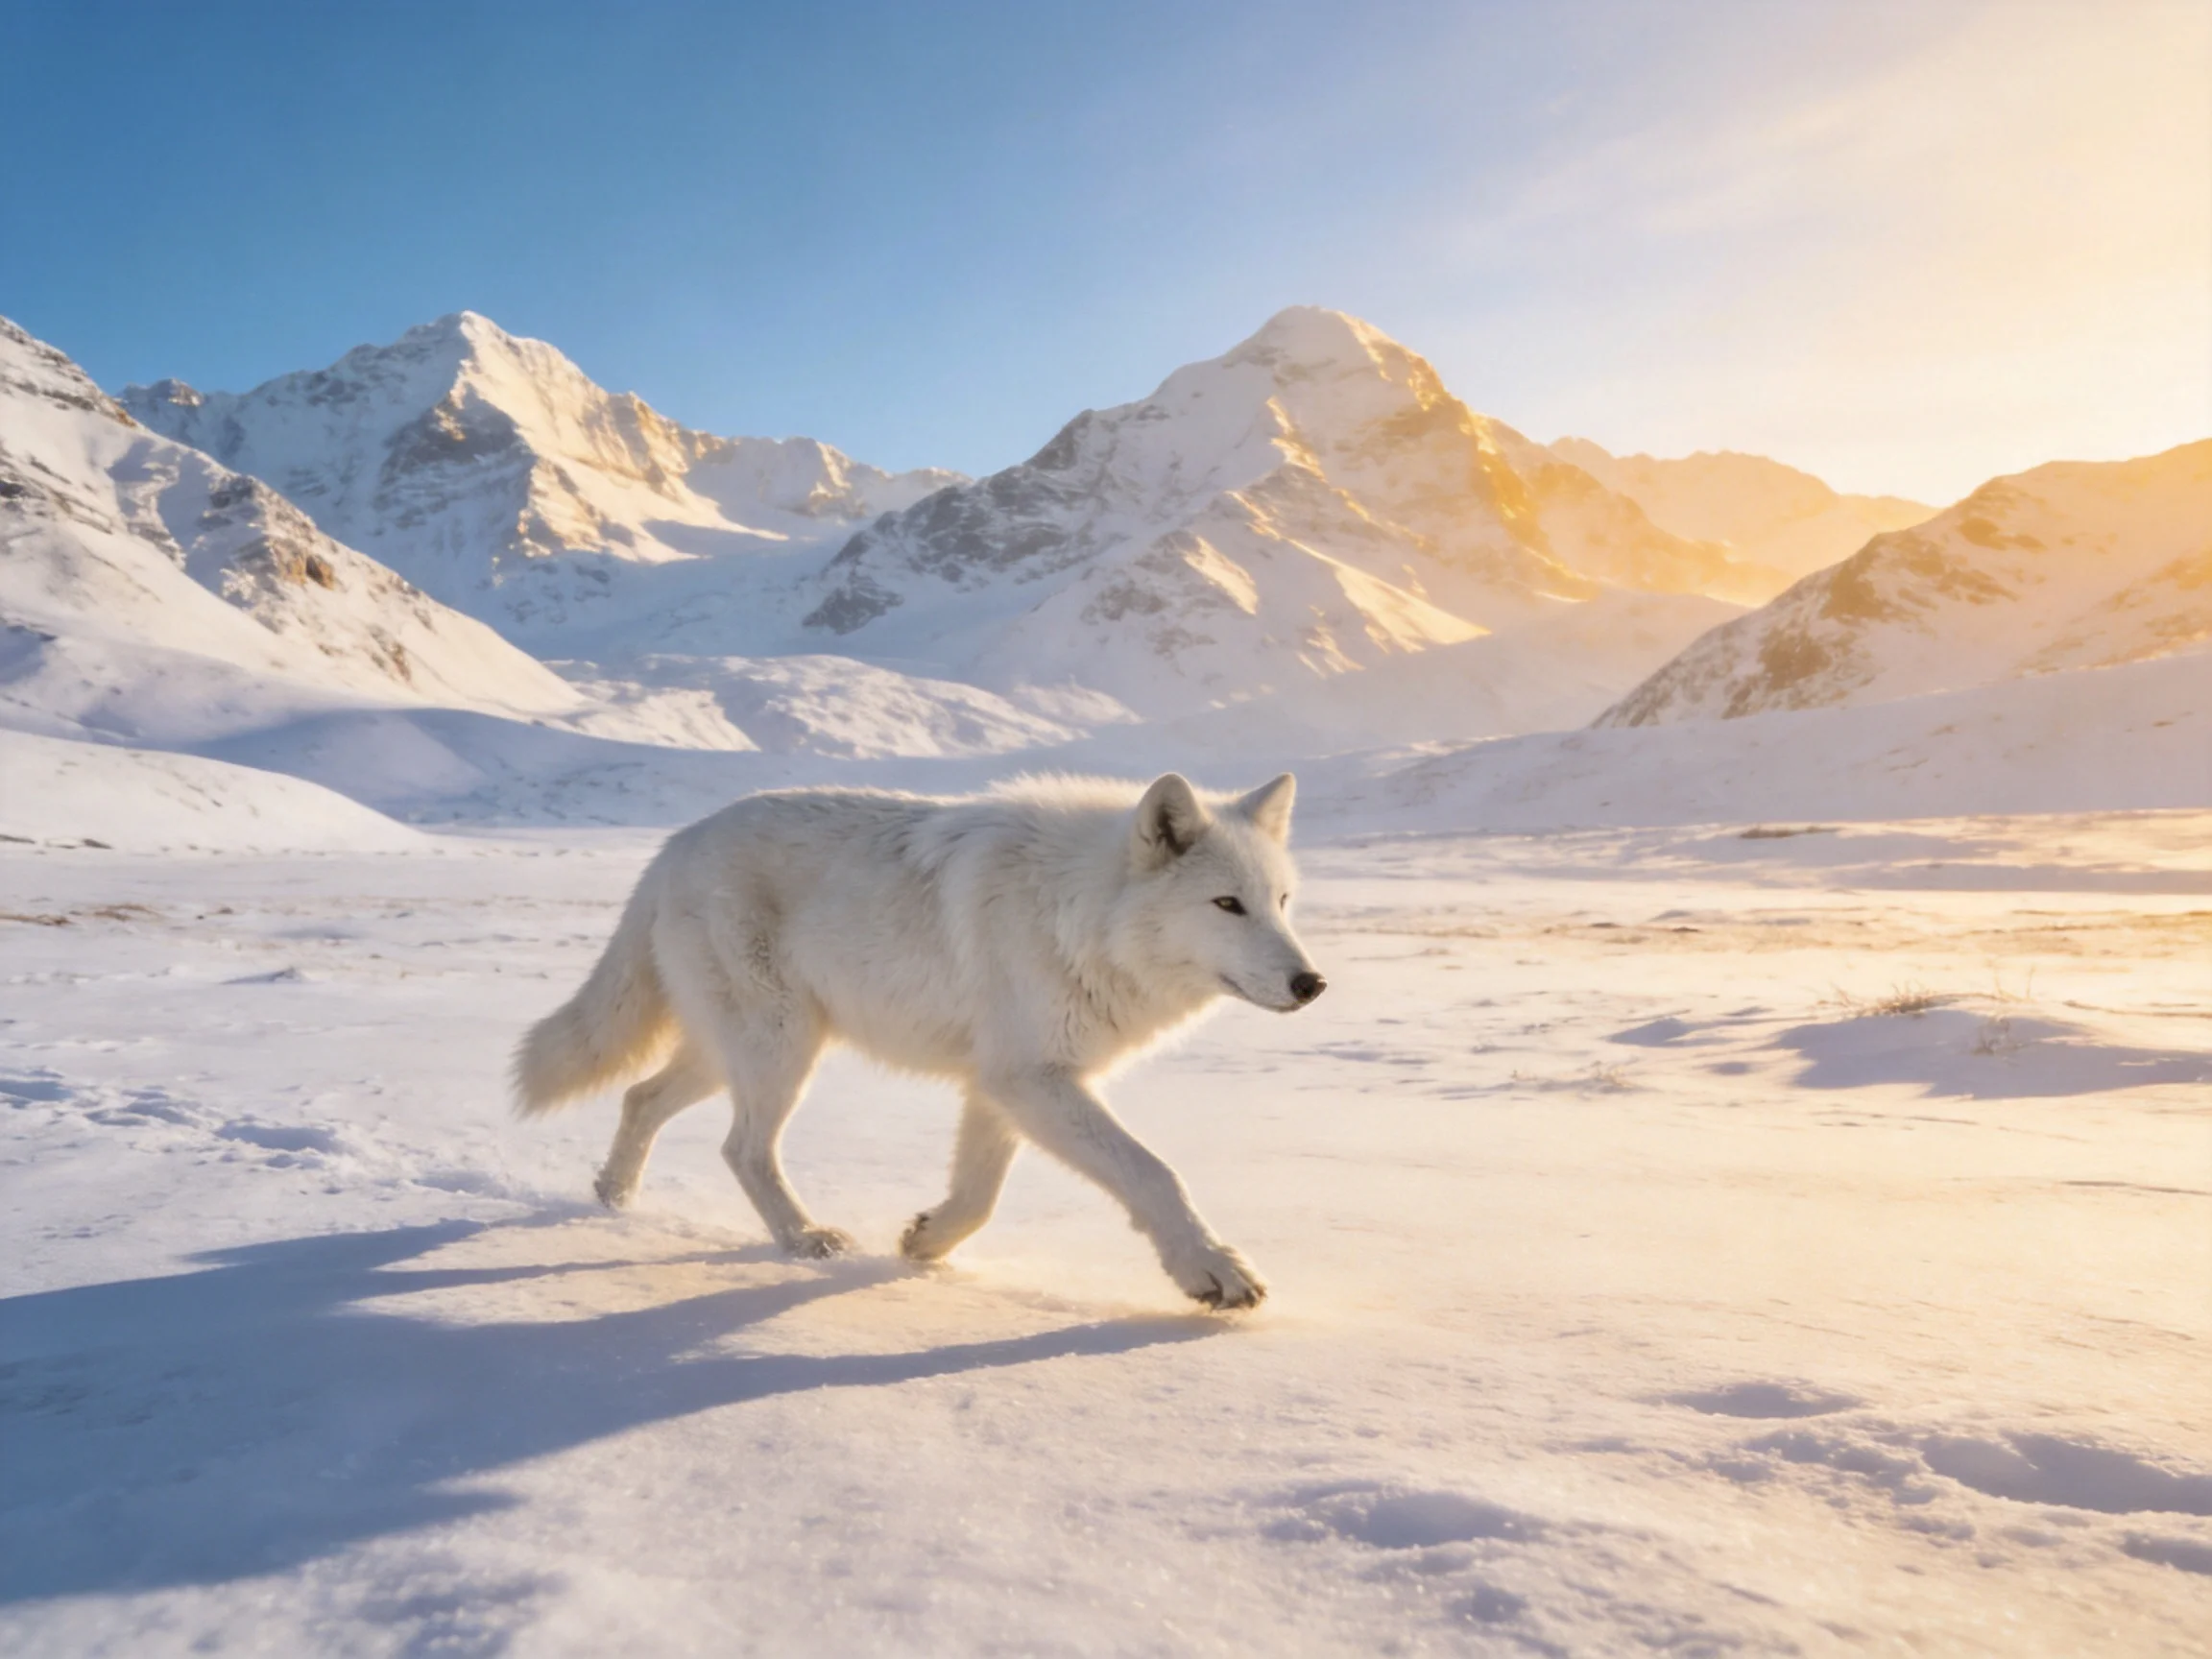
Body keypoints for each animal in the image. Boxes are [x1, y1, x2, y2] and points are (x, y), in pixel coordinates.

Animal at [512, 772, 1325, 1309]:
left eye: (1283, 903)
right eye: (1228, 904)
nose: (1312, 984)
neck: (1080, 915)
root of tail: (671, 847)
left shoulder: (1000, 1086)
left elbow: (978, 1198)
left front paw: (923, 1244)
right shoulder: (1031, 1079)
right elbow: (1154, 1173)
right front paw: (1214, 1270)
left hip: (733, 1055)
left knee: (639, 1098)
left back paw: (613, 1202)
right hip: (780, 1051)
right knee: (740, 1148)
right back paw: (803, 1239)